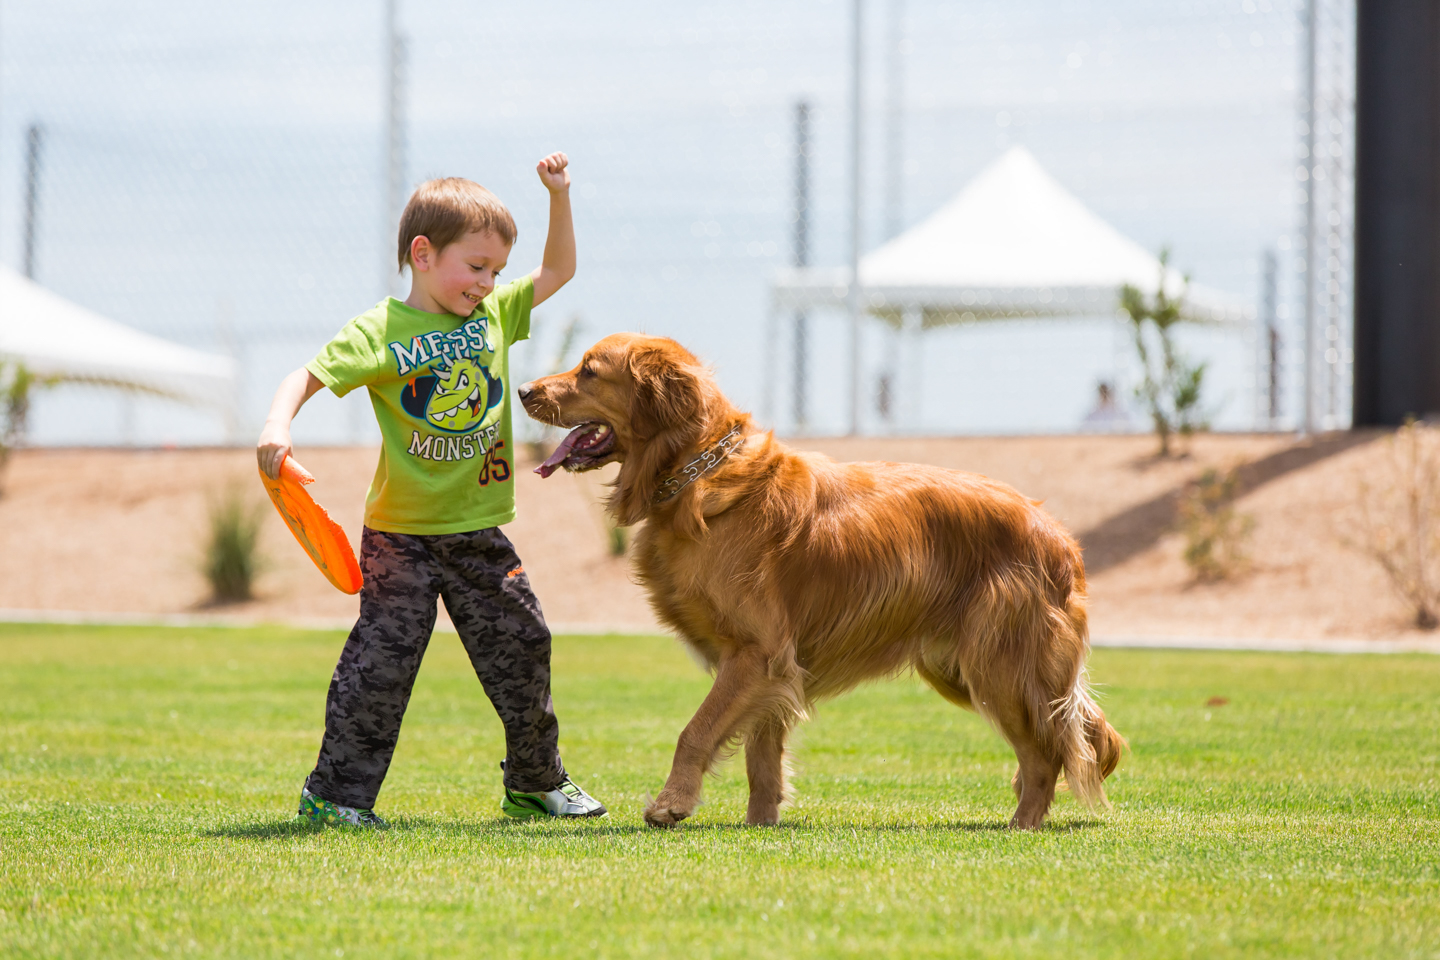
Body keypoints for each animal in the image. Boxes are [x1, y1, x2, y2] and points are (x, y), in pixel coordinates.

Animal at [518, 333, 1123, 829]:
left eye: (589, 370)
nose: (522, 389)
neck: (699, 475)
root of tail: (1058, 535)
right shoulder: (772, 668)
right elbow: (761, 759)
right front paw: (760, 823)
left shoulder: (757, 652)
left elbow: (696, 731)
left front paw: (672, 803)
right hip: (960, 666)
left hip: (999, 664)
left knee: (1046, 754)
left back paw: (1022, 826)